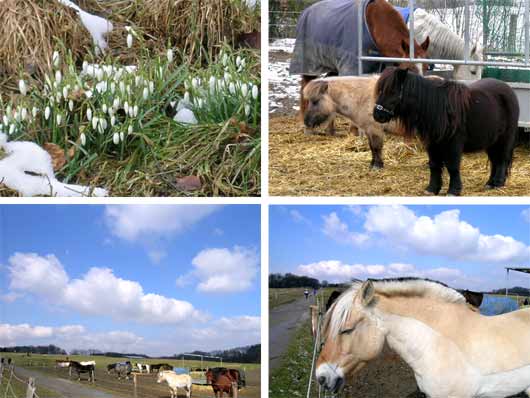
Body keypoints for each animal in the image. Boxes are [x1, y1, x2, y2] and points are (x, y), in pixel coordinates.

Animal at [288, 0, 428, 134]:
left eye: (426, 67)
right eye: (409, 68)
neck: (374, 24)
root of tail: (306, 11)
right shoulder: (352, 67)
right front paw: (354, 130)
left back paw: (330, 130)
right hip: (309, 66)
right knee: (305, 87)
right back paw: (308, 128)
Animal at [372, 68, 516, 196]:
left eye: (392, 91)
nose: (377, 115)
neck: (438, 109)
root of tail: (507, 89)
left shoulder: (453, 145)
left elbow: (452, 166)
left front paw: (454, 190)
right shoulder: (432, 144)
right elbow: (434, 165)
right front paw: (432, 189)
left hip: (505, 138)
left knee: (502, 159)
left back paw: (498, 183)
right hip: (492, 141)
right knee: (494, 160)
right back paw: (490, 183)